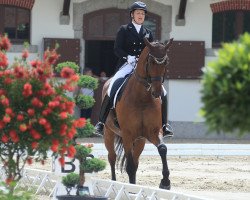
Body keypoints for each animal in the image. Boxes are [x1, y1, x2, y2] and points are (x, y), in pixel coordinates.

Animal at [102, 37, 174, 189]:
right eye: (151, 62)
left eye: (166, 62)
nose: (157, 93)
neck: (142, 98)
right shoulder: (128, 134)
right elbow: (129, 166)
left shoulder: (152, 132)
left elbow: (162, 149)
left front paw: (165, 182)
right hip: (109, 133)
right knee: (112, 157)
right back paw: (113, 182)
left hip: (140, 140)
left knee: (135, 162)